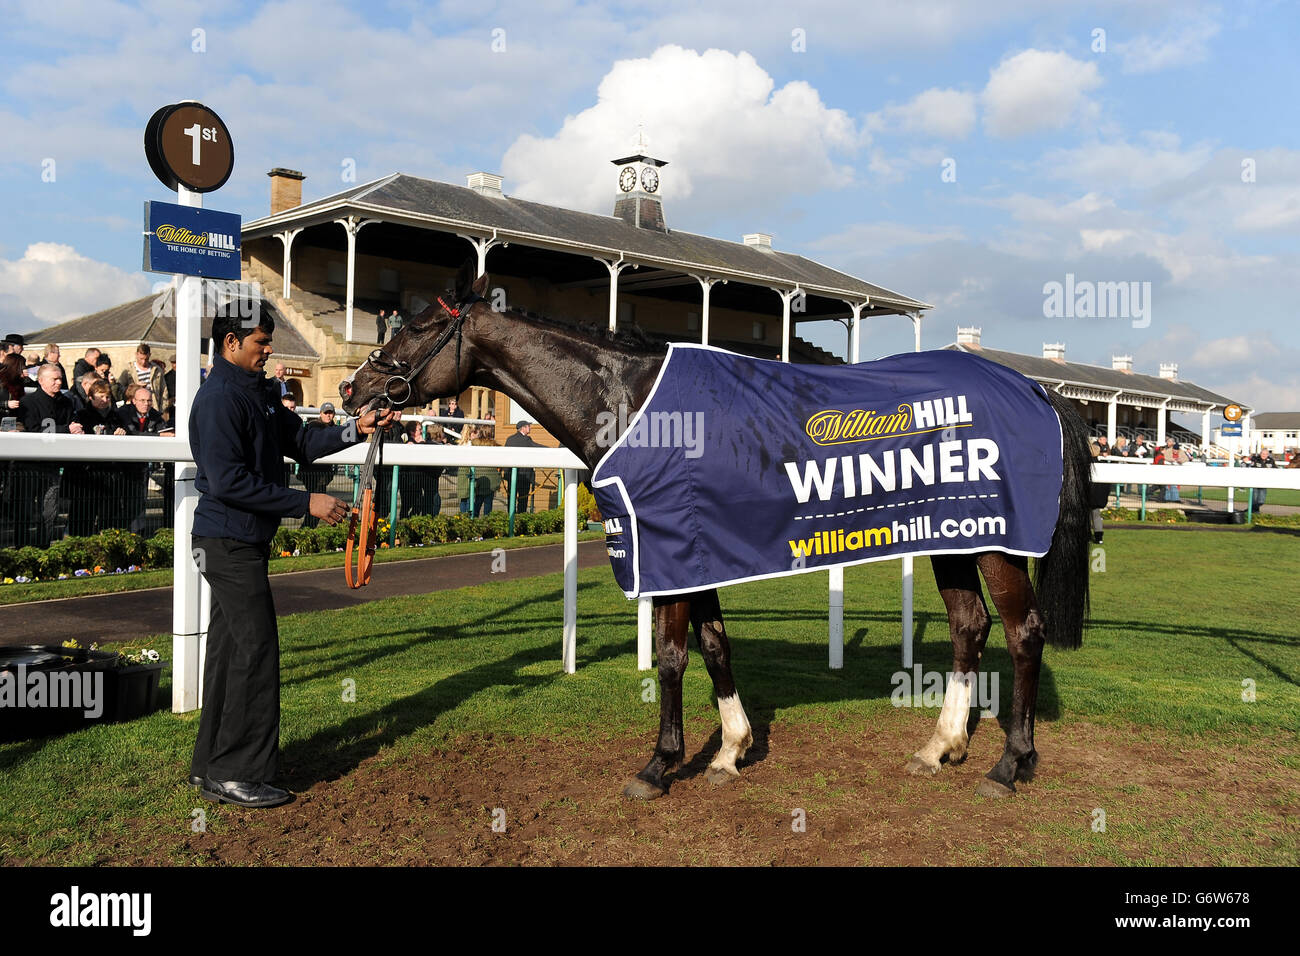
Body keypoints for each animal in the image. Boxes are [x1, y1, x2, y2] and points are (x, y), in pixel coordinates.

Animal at [340, 267, 1092, 801]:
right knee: (970, 626)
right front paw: (731, 749)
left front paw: (658, 765)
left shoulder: (669, 548)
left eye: (414, 328)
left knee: (1023, 634)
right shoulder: (692, 553)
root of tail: (1035, 388)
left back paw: (1008, 764)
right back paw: (942, 746)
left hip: (996, 543)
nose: (353, 391)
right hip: (954, 535)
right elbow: (713, 646)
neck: (634, 403)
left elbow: (673, 658)